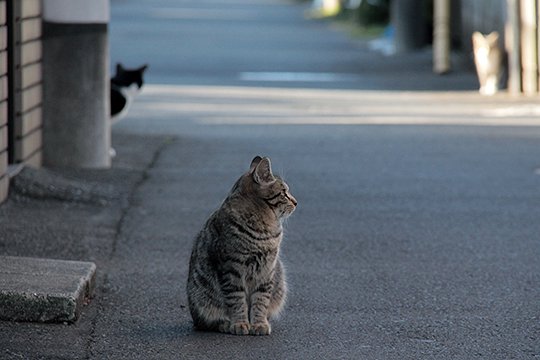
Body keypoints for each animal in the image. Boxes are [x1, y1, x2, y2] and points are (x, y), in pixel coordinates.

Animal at [185, 156, 296, 336]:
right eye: (284, 192)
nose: (296, 202)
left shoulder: (267, 271)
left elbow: (261, 301)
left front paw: (259, 324)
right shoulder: (231, 270)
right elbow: (237, 301)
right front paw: (240, 323)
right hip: (201, 299)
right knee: (209, 321)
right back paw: (224, 324)